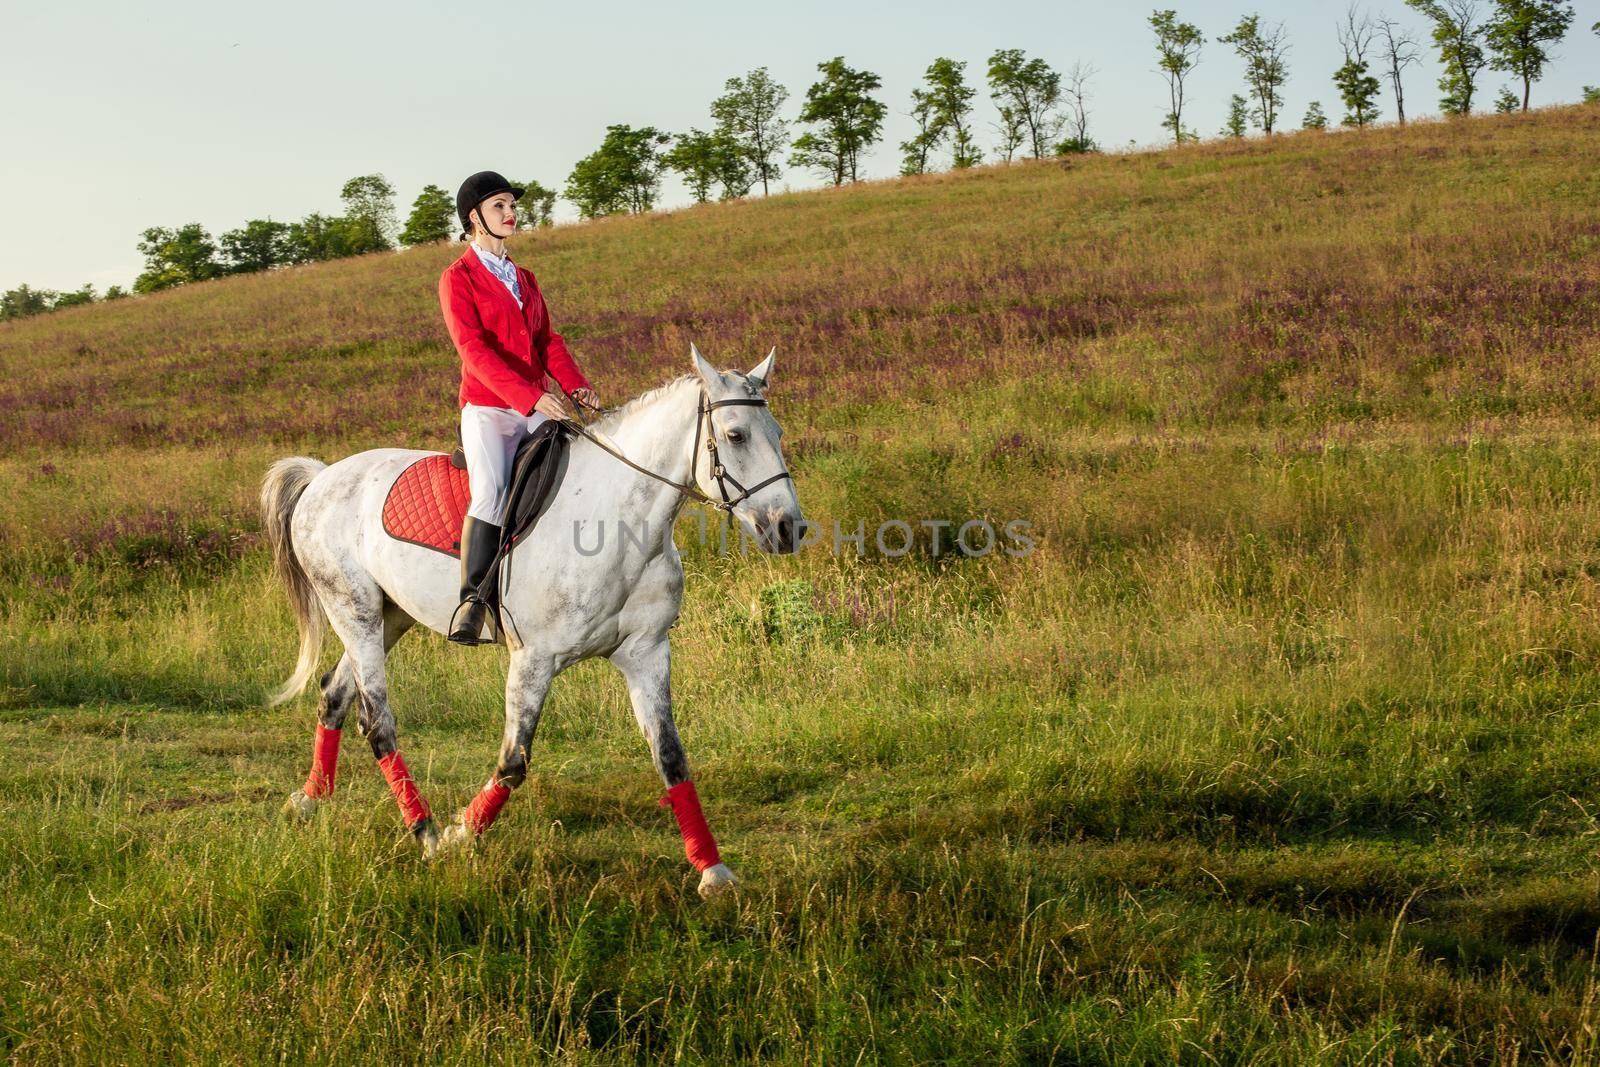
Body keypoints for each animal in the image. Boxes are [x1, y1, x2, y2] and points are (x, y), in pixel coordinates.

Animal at [267, 347, 806, 895]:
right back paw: (427, 834)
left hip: (388, 617)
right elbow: (513, 762)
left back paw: (309, 800)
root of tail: (322, 477)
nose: (789, 528)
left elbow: (671, 756)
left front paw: (713, 870)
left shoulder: (646, 653)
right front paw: (461, 835)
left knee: (334, 695)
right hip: (351, 609)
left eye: (778, 432)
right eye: (736, 435)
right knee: (377, 721)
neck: (616, 522)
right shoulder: (533, 661)